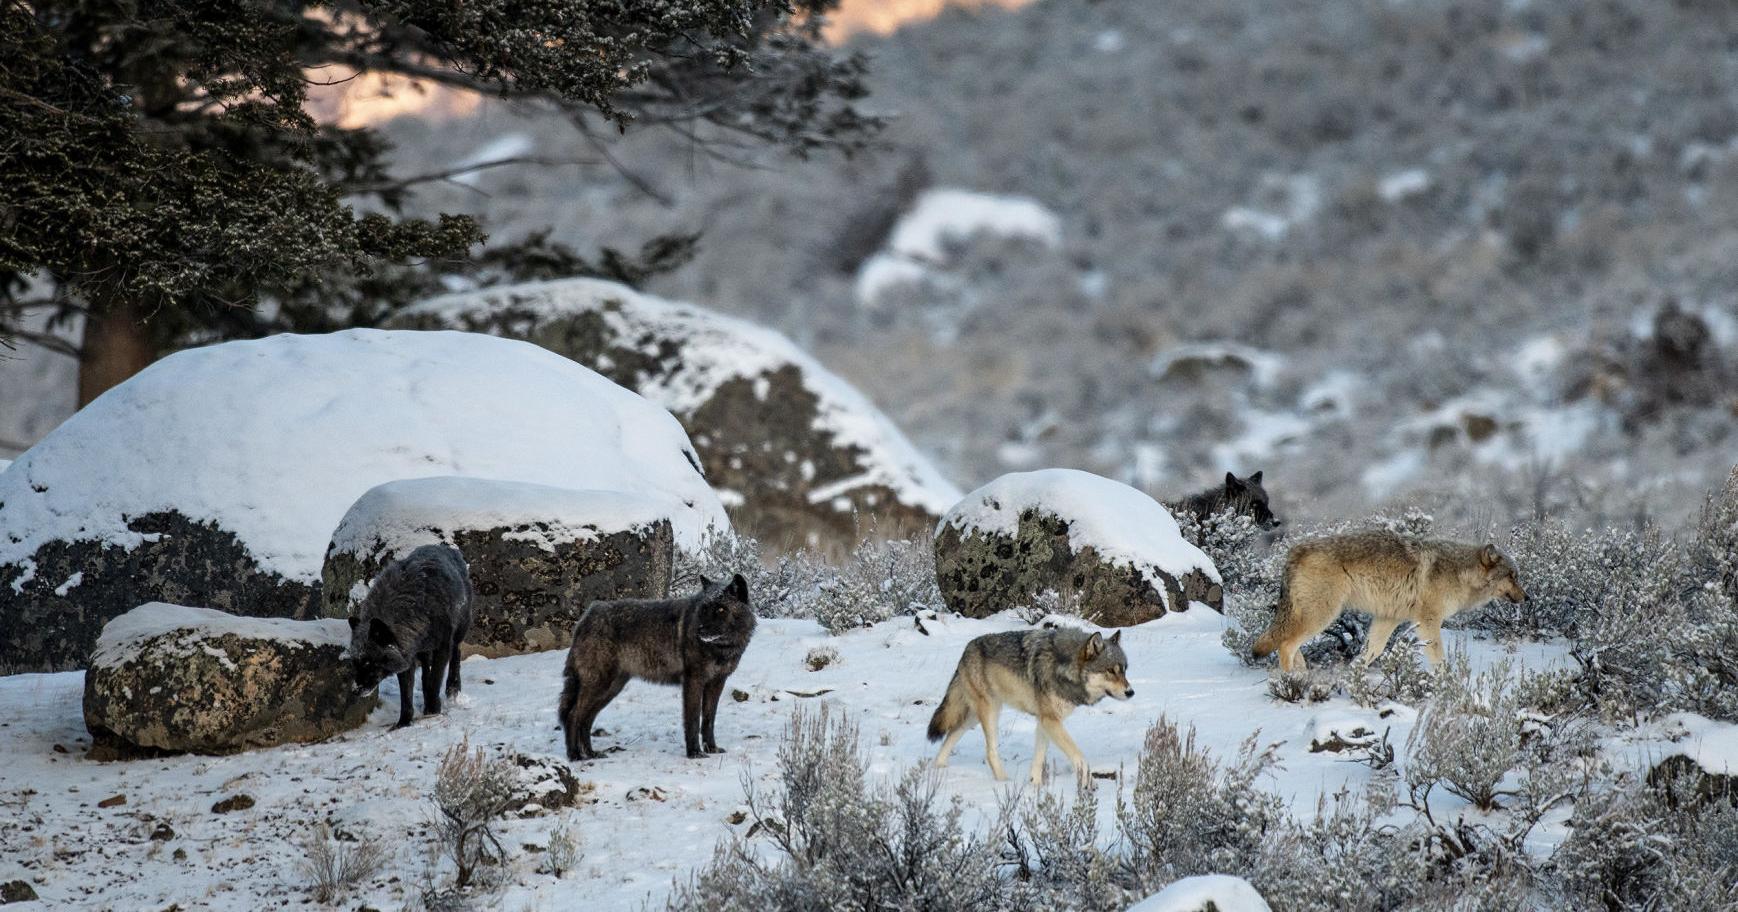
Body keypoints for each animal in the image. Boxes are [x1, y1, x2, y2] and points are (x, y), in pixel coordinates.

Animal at [347, 544, 474, 729]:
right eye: (355, 663)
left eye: (369, 662)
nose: (355, 690)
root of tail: (446, 548)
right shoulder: (408, 656)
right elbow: (406, 695)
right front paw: (403, 722)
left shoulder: (442, 648)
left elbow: (436, 680)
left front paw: (433, 709)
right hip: (424, 651)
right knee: (426, 671)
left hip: (458, 632)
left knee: (456, 653)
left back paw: (452, 688)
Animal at [558, 574, 755, 761]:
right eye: (704, 609)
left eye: (721, 609)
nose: (699, 631)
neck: (720, 648)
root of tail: (587, 616)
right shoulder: (694, 682)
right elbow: (692, 720)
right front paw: (694, 753)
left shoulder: (716, 683)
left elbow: (708, 719)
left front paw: (712, 749)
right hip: (599, 685)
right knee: (573, 715)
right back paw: (575, 755)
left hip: (610, 689)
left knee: (586, 720)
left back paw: (591, 753)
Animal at [927, 627, 1134, 786]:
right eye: (1110, 671)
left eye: (1124, 670)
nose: (1131, 692)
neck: (1064, 667)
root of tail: (966, 649)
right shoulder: (1050, 721)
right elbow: (1079, 757)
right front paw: (1089, 784)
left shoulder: (1044, 721)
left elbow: (1038, 759)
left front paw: (1035, 787)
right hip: (990, 712)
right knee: (990, 751)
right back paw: (1003, 782)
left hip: (972, 718)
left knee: (951, 734)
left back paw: (938, 768)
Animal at [1251, 530, 1526, 672]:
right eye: (1512, 576)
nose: (1527, 597)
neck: (1459, 571)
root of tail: (1294, 551)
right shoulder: (1428, 621)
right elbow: (1439, 658)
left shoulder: (1388, 618)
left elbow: (1372, 651)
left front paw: (1353, 678)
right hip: (1322, 616)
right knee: (1286, 646)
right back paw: (1292, 682)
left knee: (1289, 645)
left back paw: (1305, 677)